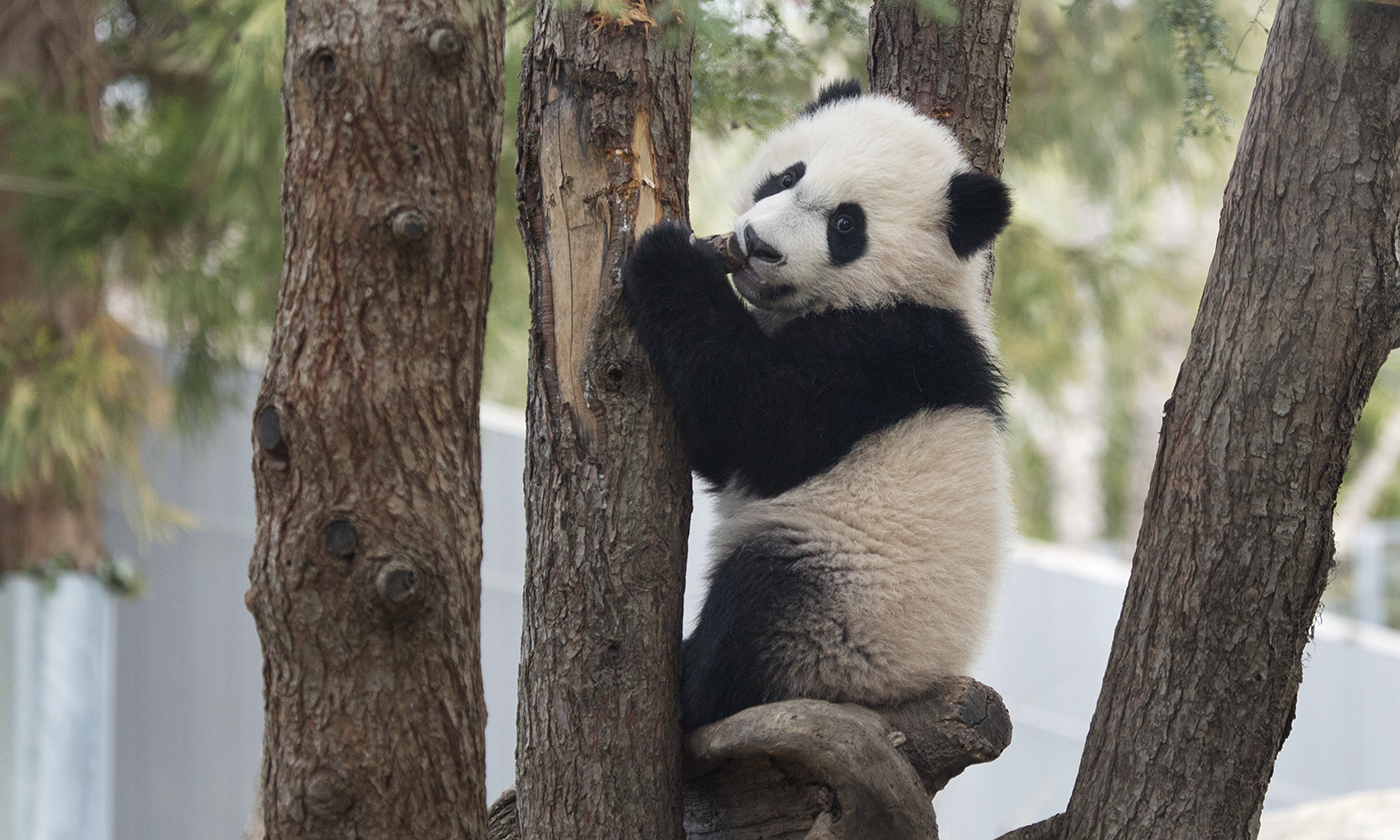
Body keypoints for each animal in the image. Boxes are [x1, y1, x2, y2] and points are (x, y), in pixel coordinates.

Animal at [621, 80, 1008, 733]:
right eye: (787, 176)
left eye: (846, 224)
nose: (757, 246)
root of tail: (901, 692)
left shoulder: (884, 356)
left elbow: (755, 422)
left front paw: (670, 256)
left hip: (846, 606)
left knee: (758, 601)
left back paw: (695, 687)